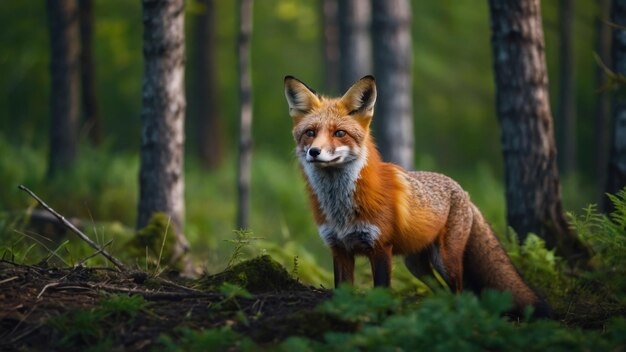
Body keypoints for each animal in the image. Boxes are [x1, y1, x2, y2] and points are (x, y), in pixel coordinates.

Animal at [282, 75, 544, 318]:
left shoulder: (381, 247)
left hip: (445, 260)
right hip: (416, 265)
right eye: (310, 133)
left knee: (460, 291)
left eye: (339, 133)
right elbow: (342, 292)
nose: (314, 152)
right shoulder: (339, 248)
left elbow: (382, 292)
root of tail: (463, 191)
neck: (341, 209)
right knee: (443, 291)